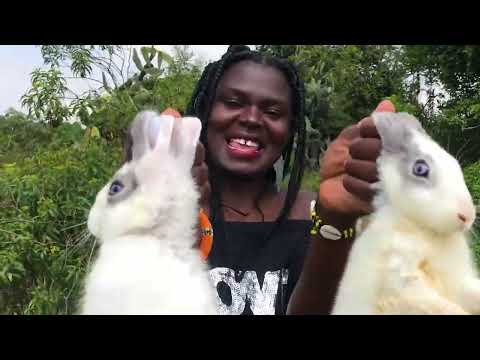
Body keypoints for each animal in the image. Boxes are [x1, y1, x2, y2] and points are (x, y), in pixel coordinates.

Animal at [332, 111, 478, 314]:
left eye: (455, 164)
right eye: (420, 169)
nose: (467, 216)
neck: (424, 228)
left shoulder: (459, 282)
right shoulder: (403, 282)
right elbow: (444, 307)